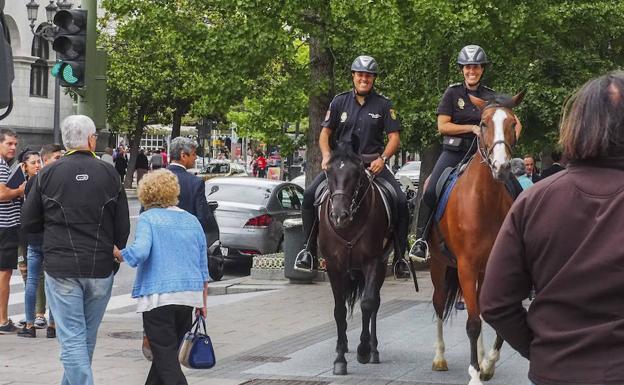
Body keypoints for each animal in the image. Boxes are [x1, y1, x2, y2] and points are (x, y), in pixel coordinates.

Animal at [320, 142, 392, 374]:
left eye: (357, 174)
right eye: (328, 173)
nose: (339, 215)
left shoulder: (373, 262)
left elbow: (368, 304)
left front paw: (363, 349)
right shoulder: (334, 266)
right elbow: (339, 311)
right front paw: (340, 360)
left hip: (382, 265)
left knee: (375, 302)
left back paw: (373, 349)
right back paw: (341, 345)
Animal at [426, 91, 524, 384]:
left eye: (513, 123)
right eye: (482, 123)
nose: (502, 167)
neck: (484, 200)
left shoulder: (493, 265)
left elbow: (490, 314)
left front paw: (488, 364)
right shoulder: (466, 266)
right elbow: (472, 322)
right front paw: (474, 374)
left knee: (477, 308)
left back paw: (481, 358)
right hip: (438, 264)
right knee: (439, 303)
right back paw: (440, 357)